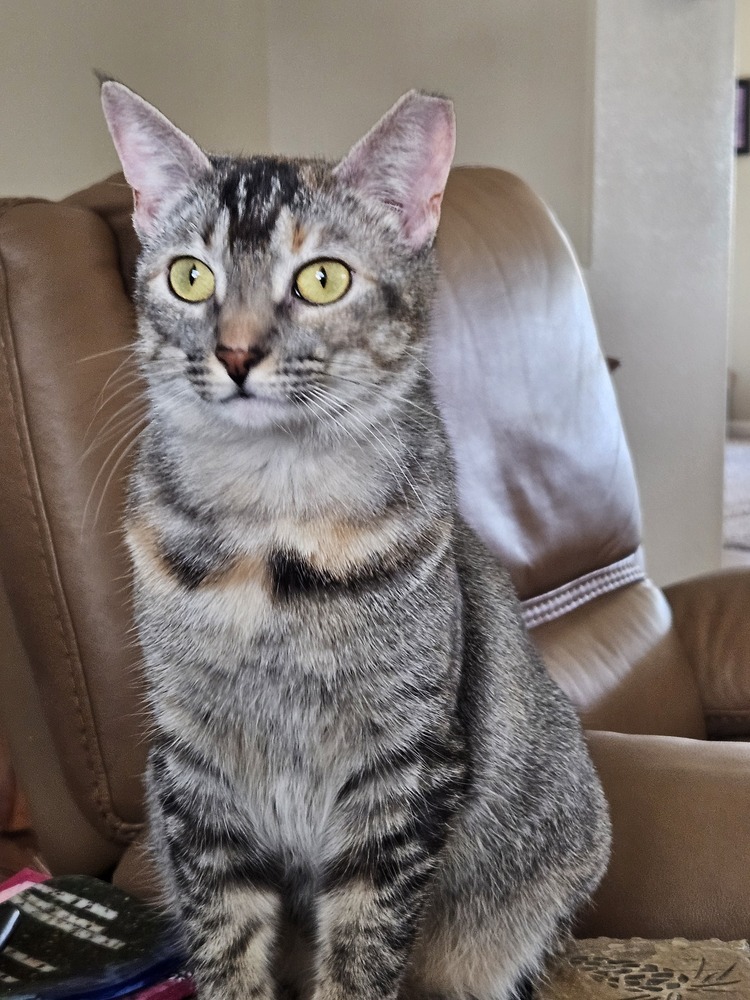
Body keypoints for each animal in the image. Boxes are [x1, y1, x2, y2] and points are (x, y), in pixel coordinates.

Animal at [100, 80, 612, 1000]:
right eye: (190, 276)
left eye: (323, 278)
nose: (234, 353)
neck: (268, 538)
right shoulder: (195, 770)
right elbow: (225, 940)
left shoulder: (403, 771)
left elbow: (362, 950)